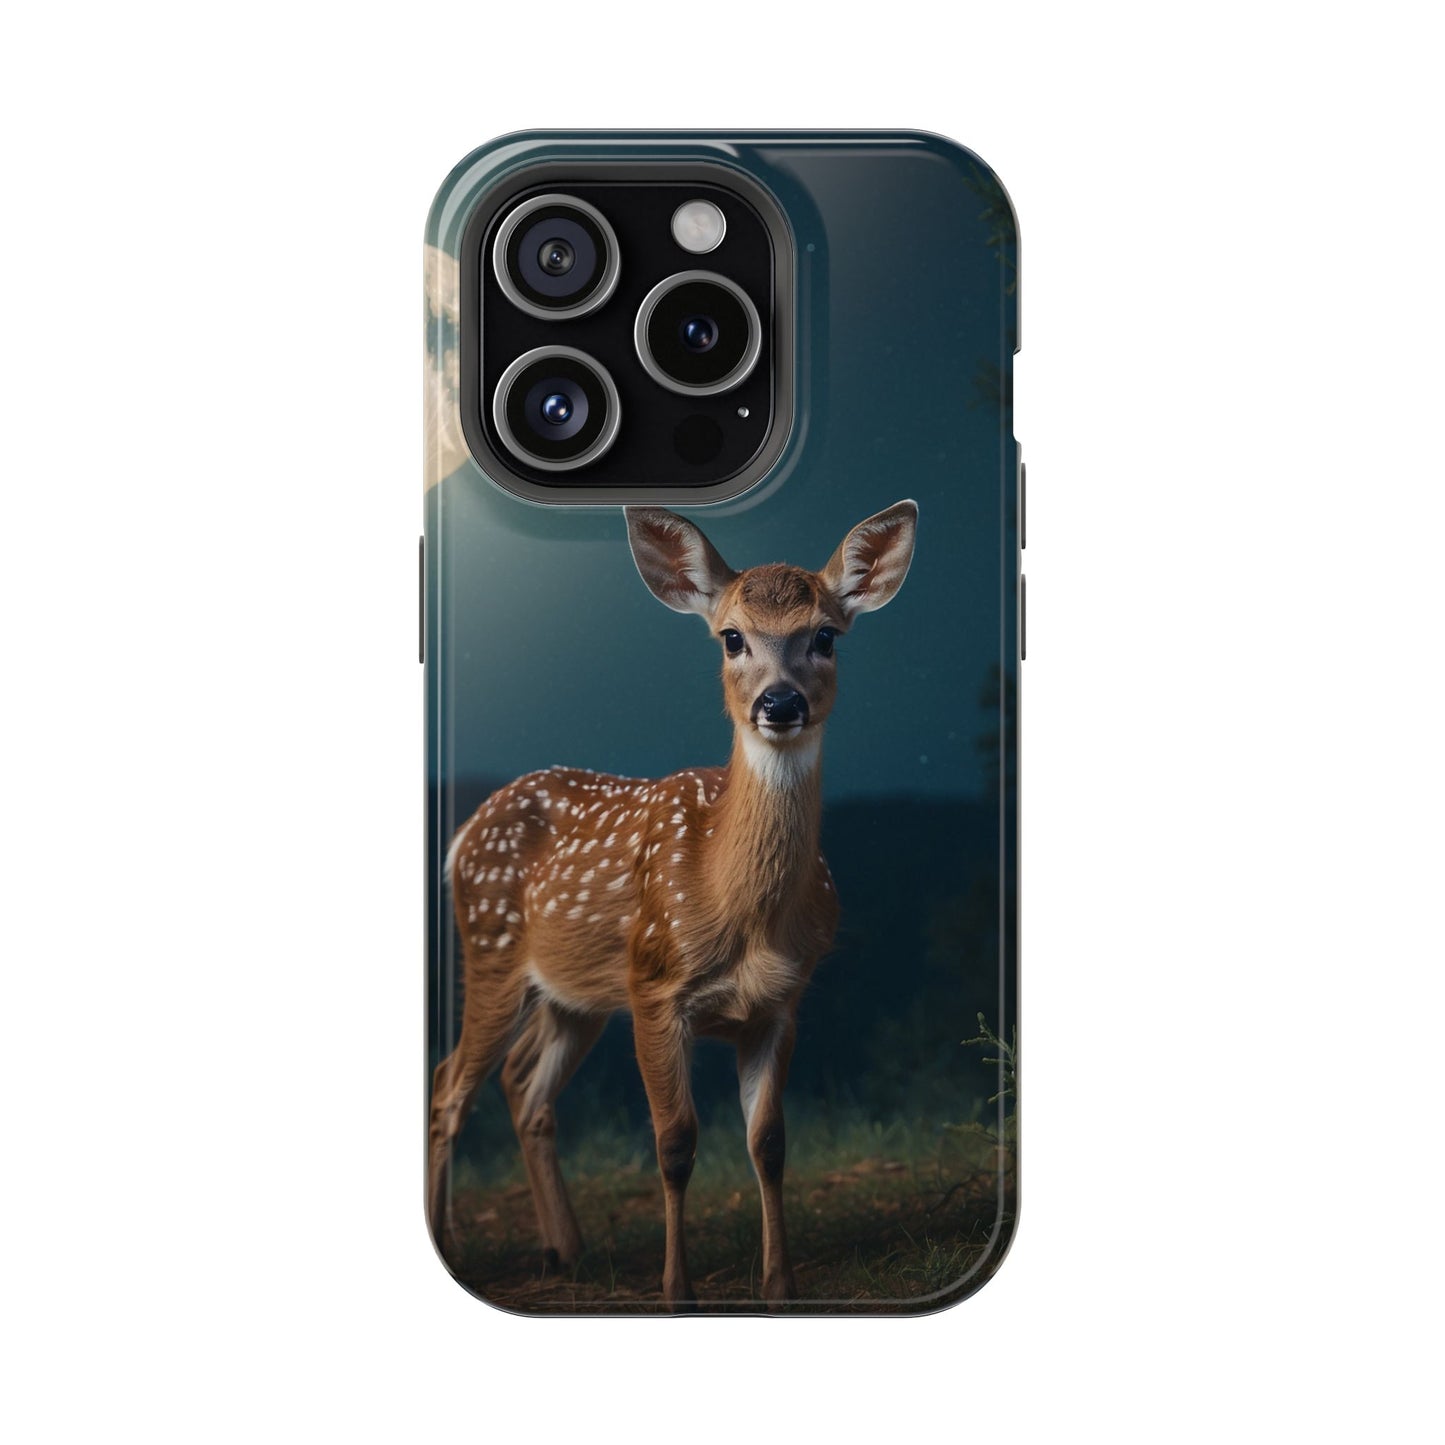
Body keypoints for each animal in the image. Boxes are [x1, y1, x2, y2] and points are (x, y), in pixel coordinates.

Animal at [428, 499, 918, 1308]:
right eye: (731, 636)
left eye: (825, 635)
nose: (778, 702)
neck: (739, 911)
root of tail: (466, 832)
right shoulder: (656, 988)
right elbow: (675, 1141)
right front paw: (676, 1291)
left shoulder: (781, 1001)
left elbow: (769, 1142)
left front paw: (779, 1286)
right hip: (493, 951)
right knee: (448, 1085)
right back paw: (454, 1244)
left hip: (576, 995)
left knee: (523, 1086)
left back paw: (567, 1250)